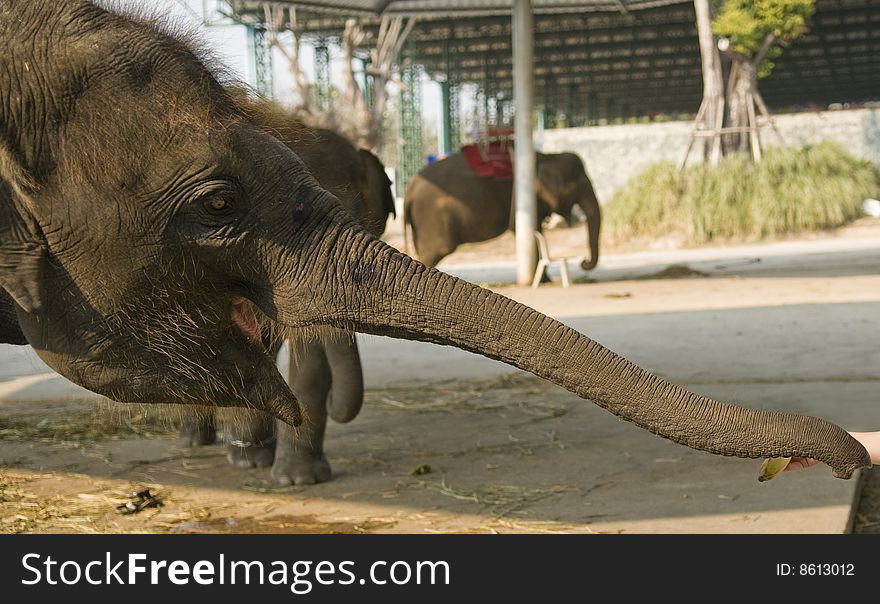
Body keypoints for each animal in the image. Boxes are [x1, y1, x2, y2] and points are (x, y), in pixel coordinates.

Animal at [404, 152, 600, 270]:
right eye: (577, 184)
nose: (583, 261)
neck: (548, 156)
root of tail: (410, 188)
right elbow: (522, 228)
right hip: (431, 216)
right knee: (437, 251)